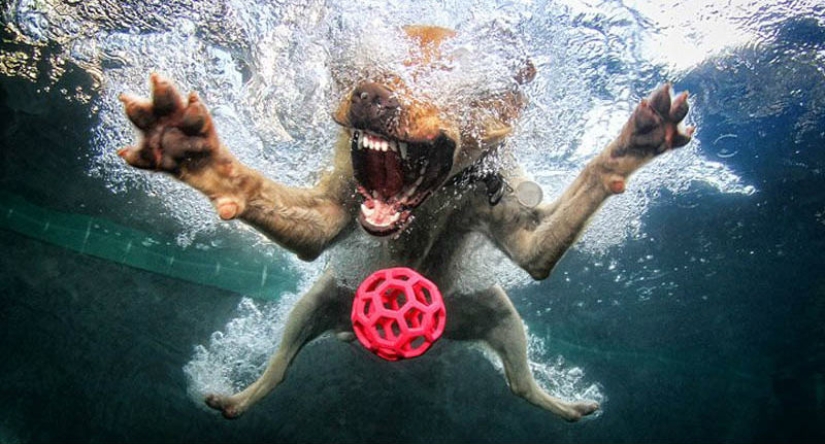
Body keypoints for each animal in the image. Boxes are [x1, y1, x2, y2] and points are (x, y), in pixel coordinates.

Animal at [119, 25, 692, 424]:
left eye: (446, 77)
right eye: (365, 67)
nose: (369, 93)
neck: (430, 202)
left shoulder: (519, 228)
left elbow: (548, 237)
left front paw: (629, 148)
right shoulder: (326, 212)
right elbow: (258, 191)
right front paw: (195, 154)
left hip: (500, 315)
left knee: (520, 383)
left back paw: (564, 406)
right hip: (316, 301)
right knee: (279, 367)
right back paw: (240, 397)